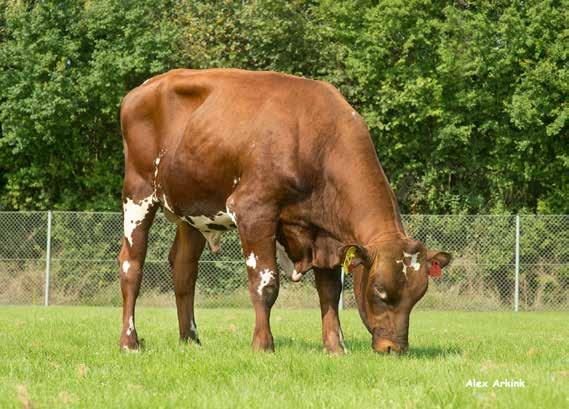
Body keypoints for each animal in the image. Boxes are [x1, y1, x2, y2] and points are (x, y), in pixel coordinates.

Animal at [117, 67, 450, 354]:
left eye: (418, 295)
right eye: (379, 290)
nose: (394, 348)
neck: (317, 138)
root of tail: (143, 88)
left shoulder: (325, 236)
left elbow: (330, 291)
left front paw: (335, 348)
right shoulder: (254, 210)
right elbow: (266, 283)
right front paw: (263, 345)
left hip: (193, 210)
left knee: (184, 269)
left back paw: (190, 340)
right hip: (138, 194)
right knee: (131, 265)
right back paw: (129, 342)